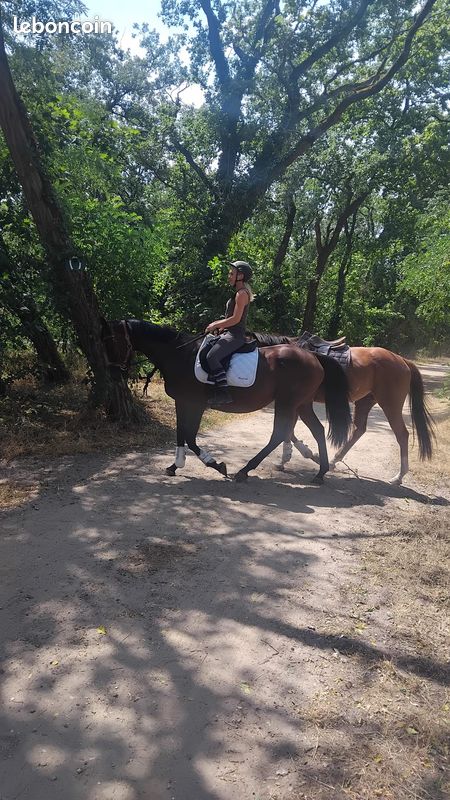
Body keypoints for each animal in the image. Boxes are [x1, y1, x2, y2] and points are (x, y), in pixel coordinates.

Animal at [101, 319, 352, 483]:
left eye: (115, 342)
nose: (112, 374)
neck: (179, 355)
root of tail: (313, 356)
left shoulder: (195, 404)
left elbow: (190, 436)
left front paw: (217, 465)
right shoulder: (181, 402)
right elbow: (181, 433)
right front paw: (174, 466)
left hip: (288, 404)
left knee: (279, 434)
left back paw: (245, 470)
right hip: (302, 404)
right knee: (317, 430)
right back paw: (320, 472)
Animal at [252, 334, 435, 485]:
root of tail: (402, 360)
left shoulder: (295, 401)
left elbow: (288, 430)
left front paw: (307, 454)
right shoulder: (296, 403)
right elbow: (289, 431)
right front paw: (287, 459)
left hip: (390, 404)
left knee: (402, 434)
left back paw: (399, 476)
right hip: (365, 401)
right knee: (359, 430)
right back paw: (333, 461)